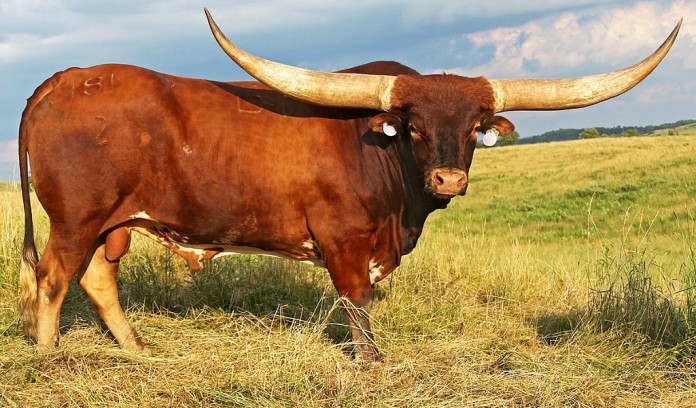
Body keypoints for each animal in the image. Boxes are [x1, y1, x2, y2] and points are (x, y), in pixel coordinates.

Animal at [18, 9, 681, 362]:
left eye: (475, 127)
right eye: (412, 126)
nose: (448, 177)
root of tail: (62, 78)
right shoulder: (343, 240)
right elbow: (357, 304)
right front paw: (373, 365)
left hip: (117, 223)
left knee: (97, 279)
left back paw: (134, 347)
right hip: (76, 218)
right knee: (52, 277)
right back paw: (50, 357)